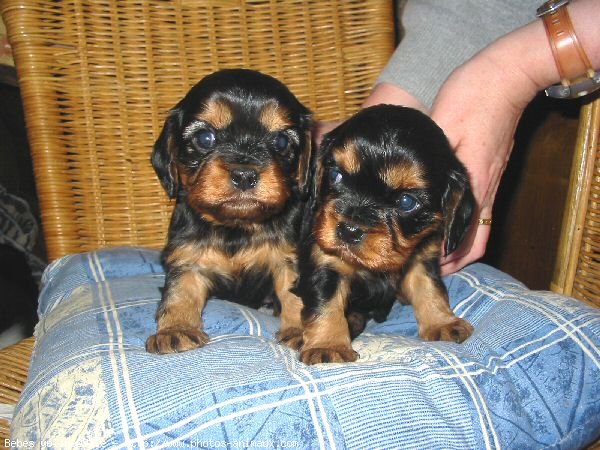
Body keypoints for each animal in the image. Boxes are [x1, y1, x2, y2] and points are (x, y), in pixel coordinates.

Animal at [147, 68, 312, 354]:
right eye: (205, 138)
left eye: (281, 141)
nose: (244, 174)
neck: (236, 225)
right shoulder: (186, 257)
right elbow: (179, 293)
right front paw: (176, 330)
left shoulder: (288, 259)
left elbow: (295, 296)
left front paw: (301, 331)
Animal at [294, 103, 474, 364]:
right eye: (336, 175)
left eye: (406, 202)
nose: (349, 230)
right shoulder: (325, 261)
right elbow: (325, 304)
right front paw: (327, 346)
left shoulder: (421, 258)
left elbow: (430, 288)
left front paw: (442, 322)